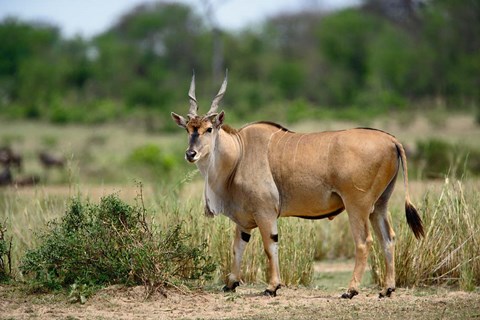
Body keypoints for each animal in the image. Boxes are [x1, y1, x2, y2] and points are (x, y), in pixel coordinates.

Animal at [172, 72, 424, 298]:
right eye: (188, 129)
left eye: (209, 129)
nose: (190, 154)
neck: (239, 152)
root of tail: (391, 140)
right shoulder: (244, 221)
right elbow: (237, 247)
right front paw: (231, 283)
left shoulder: (265, 213)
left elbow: (269, 246)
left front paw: (272, 287)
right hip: (379, 206)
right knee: (388, 239)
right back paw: (387, 289)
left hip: (358, 206)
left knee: (364, 242)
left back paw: (351, 290)